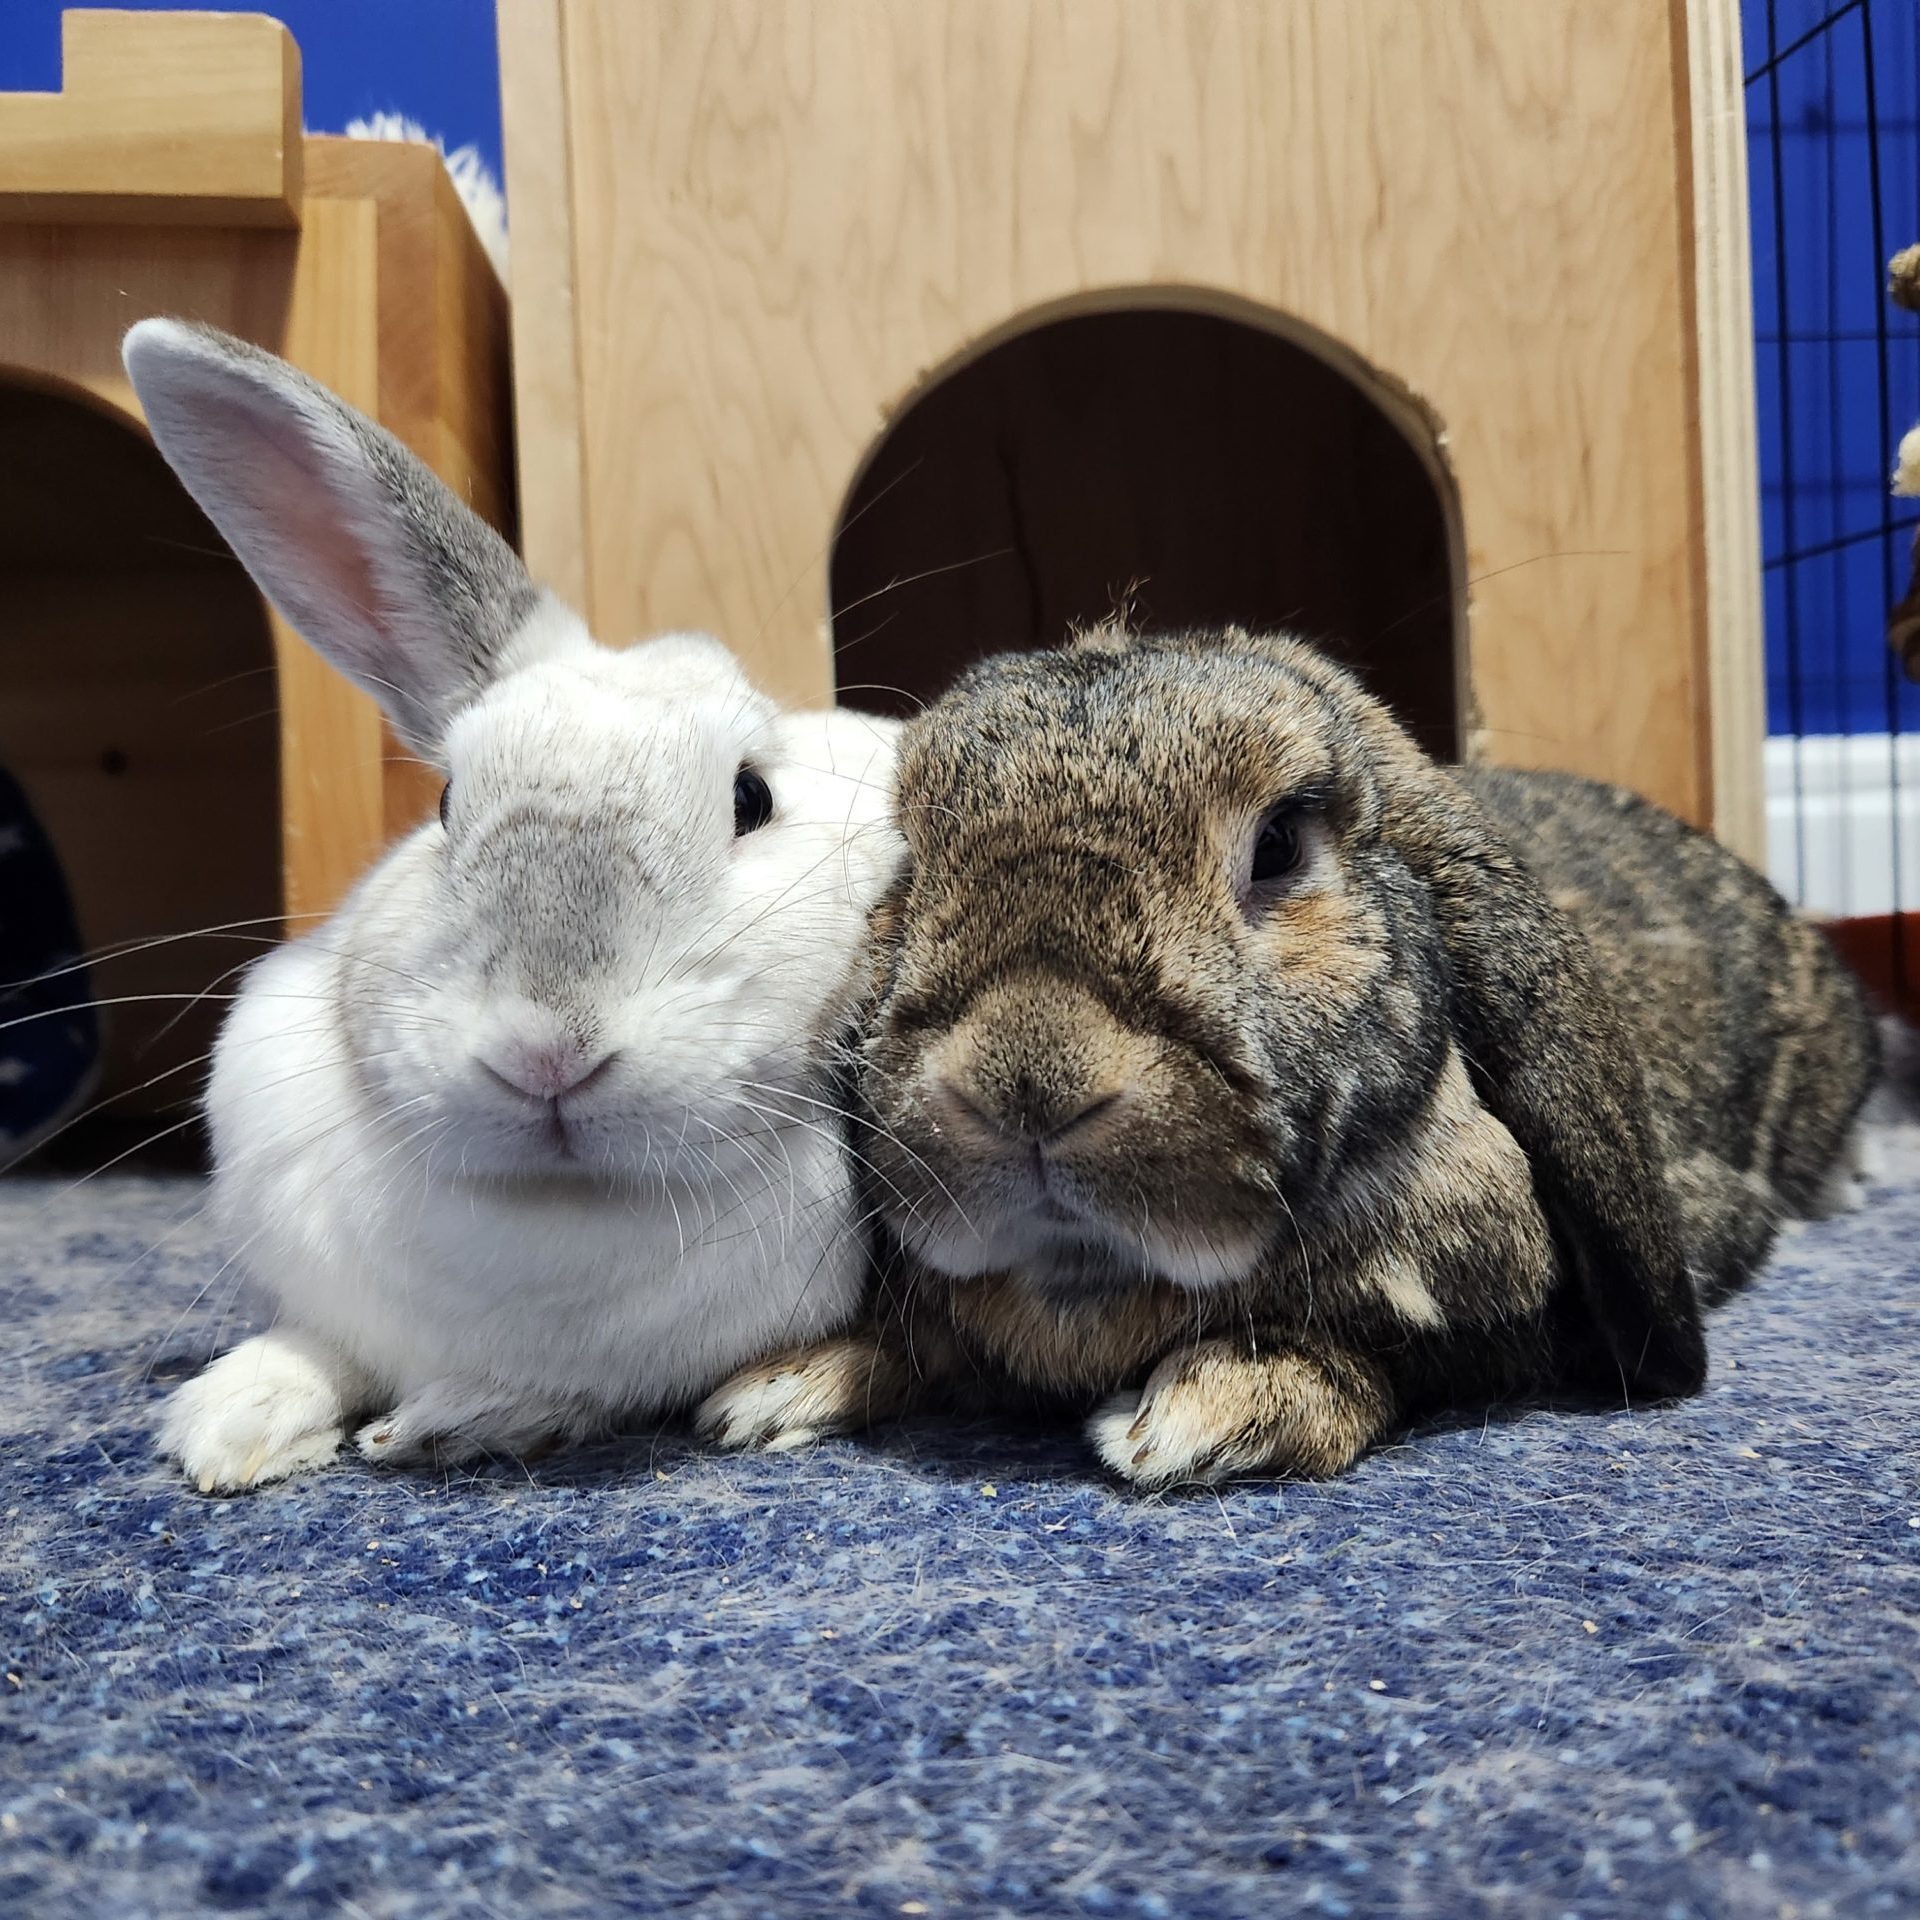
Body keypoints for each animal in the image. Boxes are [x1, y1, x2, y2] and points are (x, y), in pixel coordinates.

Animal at [122, 320, 903, 1493]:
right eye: (447, 803)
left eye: (751, 800)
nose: (547, 1053)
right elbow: (311, 1348)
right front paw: (229, 1425)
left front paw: (456, 1419)